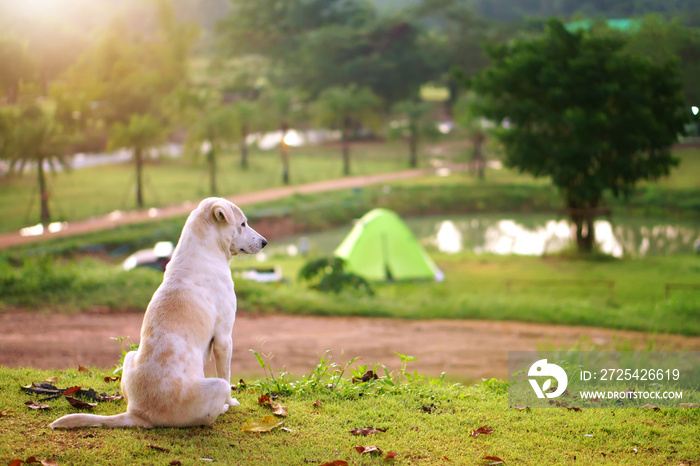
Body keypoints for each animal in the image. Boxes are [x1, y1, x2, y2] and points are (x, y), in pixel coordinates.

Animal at [50, 198, 268, 430]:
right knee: (214, 403)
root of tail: (138, 414)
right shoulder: (223, 339)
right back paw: (224, 407)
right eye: (243, 224)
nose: (265, 242)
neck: (203, 253)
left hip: (130, 356)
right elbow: (227, 374)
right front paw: (232, 403)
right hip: (216, 386)